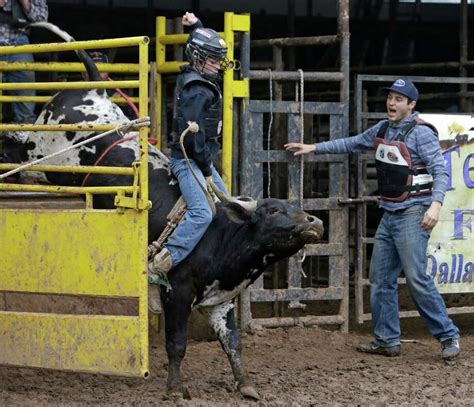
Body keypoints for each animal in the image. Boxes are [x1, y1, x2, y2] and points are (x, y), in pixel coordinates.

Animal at [0, 22, 324, 398]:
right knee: (22, 146)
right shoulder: (177, 293)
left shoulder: (220, 301)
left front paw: (246, 385)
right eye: (272, 210)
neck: (225, 236)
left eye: (295, 206)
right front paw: (174, 388)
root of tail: (95, 91)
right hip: (43, 154)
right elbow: (177, 344)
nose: (314, 221)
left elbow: (232, 344)